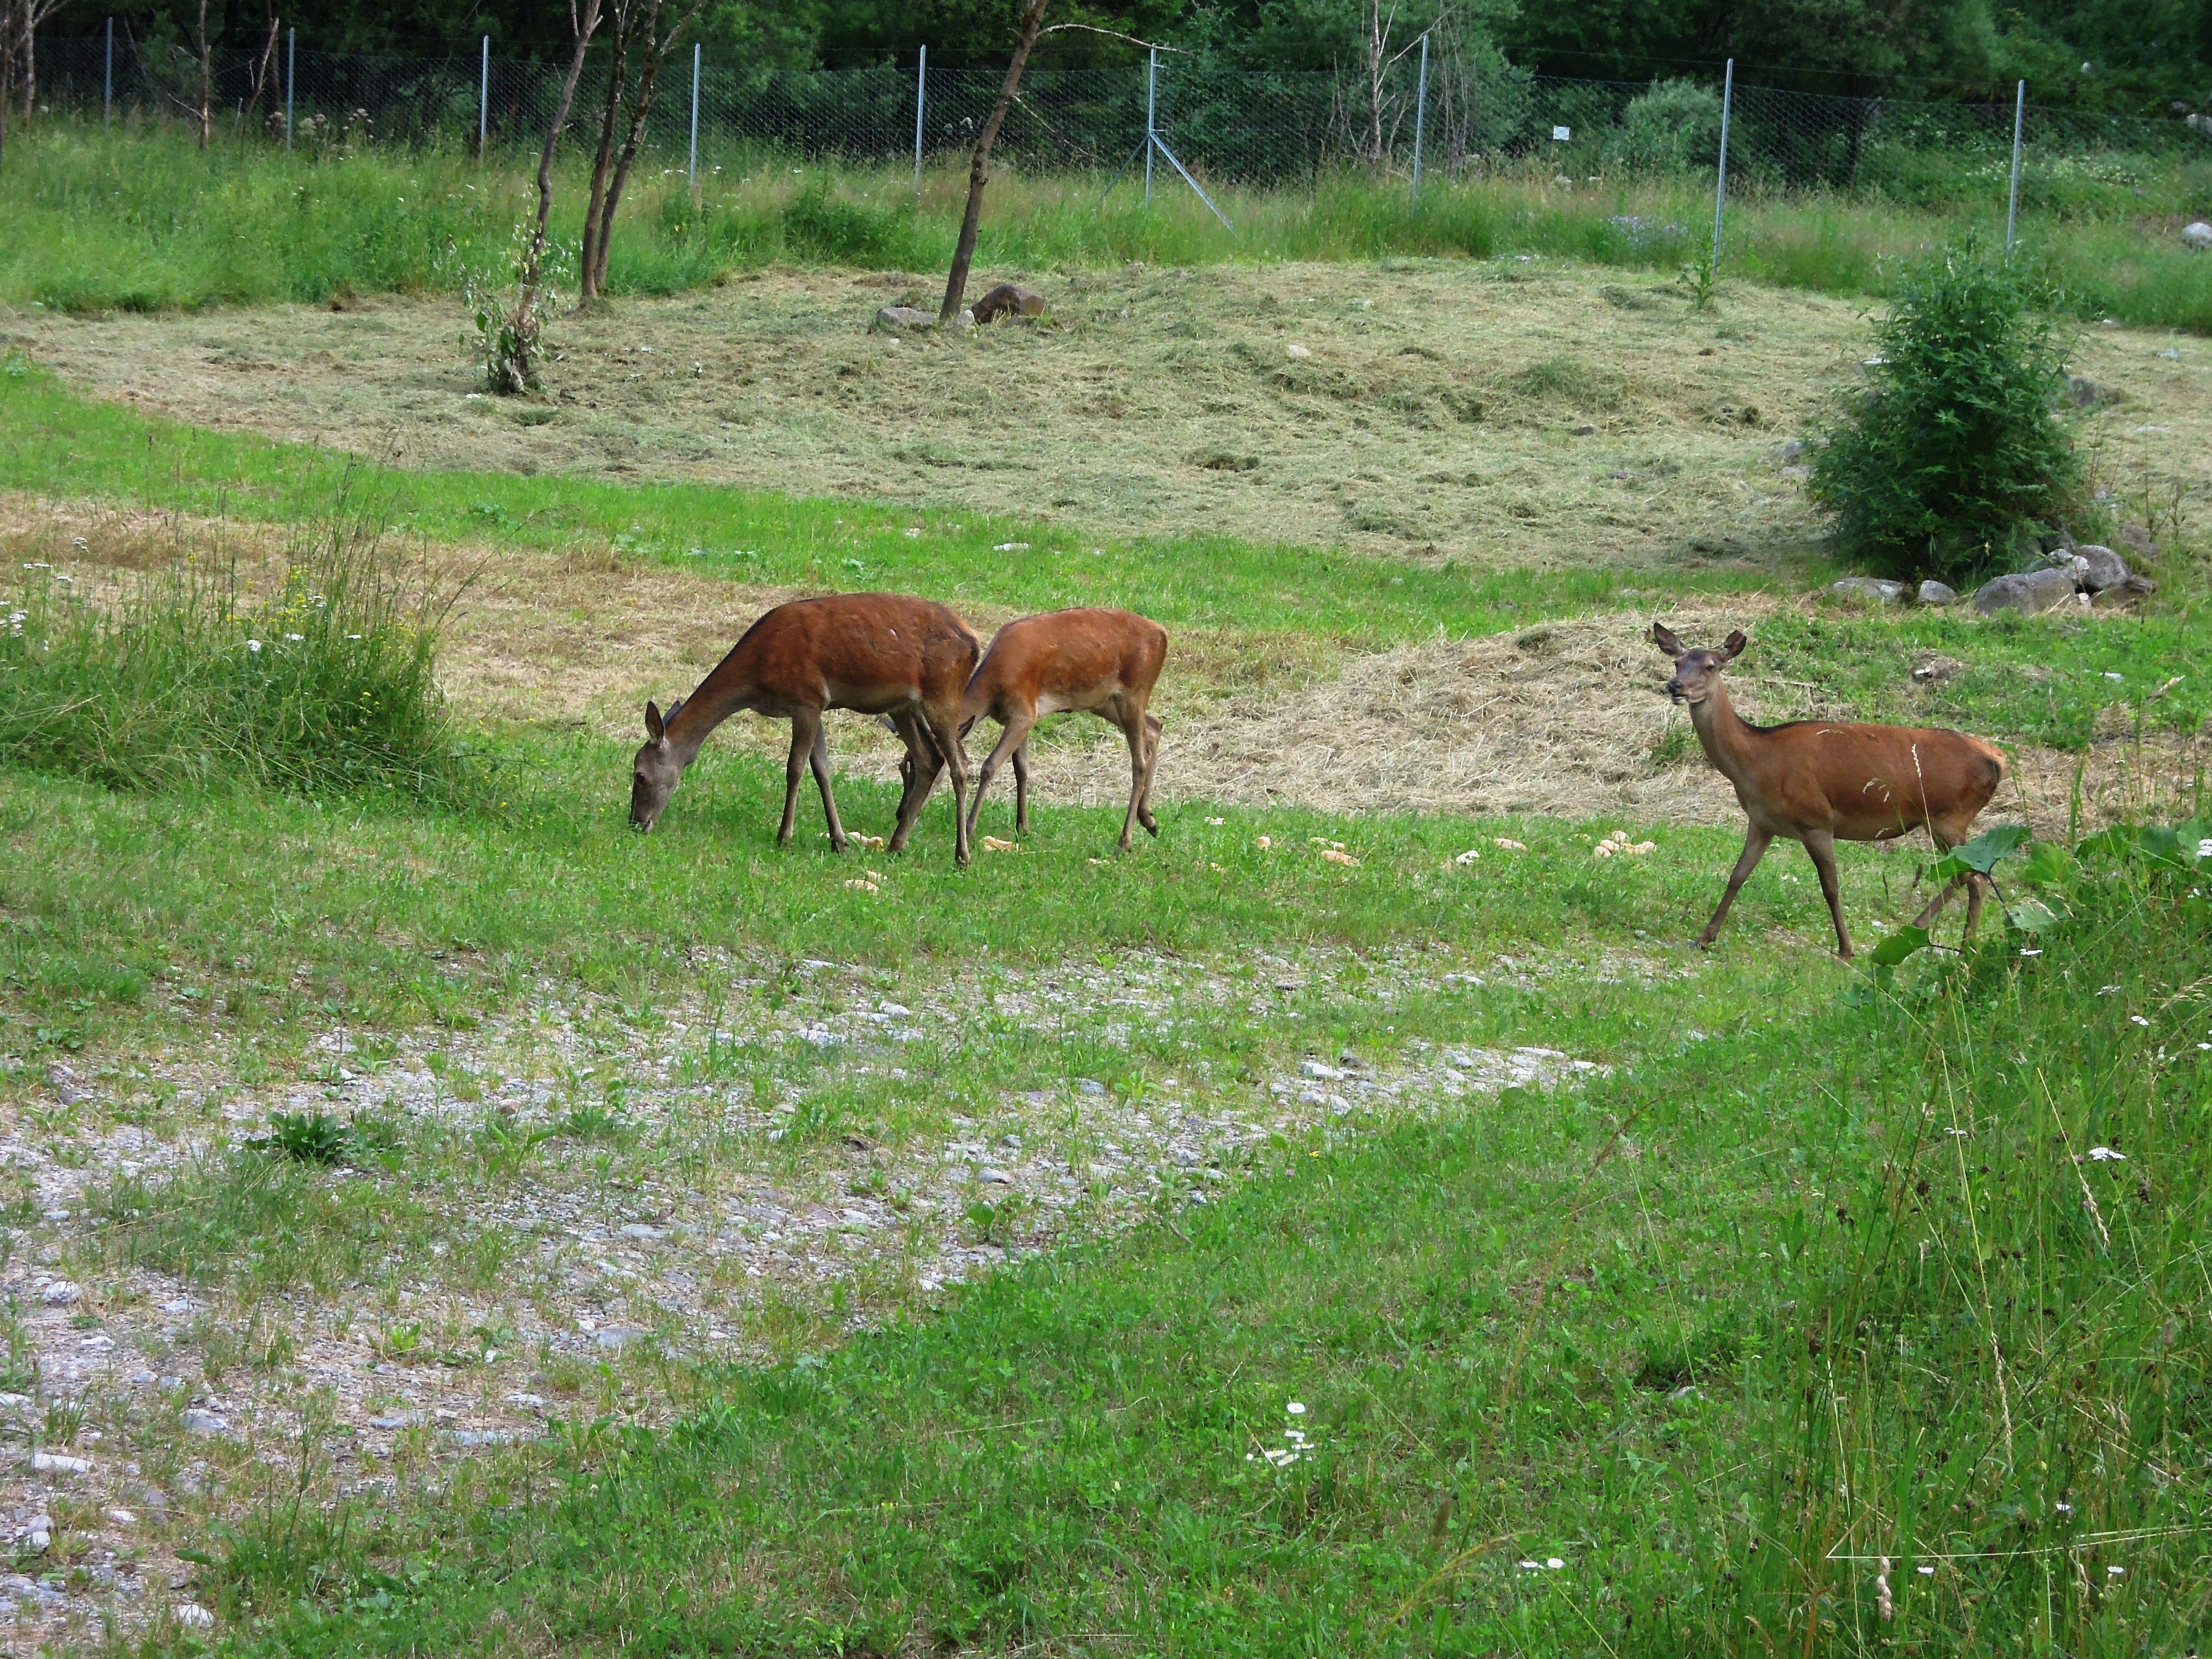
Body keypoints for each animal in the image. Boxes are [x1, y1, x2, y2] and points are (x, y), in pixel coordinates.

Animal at [641, 593, 987, 872]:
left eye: (639, 775)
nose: (638, 822)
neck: (756, 676)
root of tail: (975, 642)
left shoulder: (806, 699)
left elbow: (795, 768)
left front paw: (784, 836)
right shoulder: (817, 705)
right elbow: (821, 768)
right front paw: (839, 842)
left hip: (943, 693)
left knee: (959, 764)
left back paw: (962, 855)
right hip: (903, 706)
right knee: (929, 757)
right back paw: (895, 845)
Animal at [964, 606, 1177, 849]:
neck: (991, 695)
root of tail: (1162, 634)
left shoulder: (1023, 712)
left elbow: (990, 766)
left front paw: (970, 830)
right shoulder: (1020, 717)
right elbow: (1022, 769)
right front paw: (1023, 828)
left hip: (1135, 691)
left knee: (1139, 762)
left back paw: (1125, 842)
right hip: (1105, 701)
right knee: (1154, 726)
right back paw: (1150, 820)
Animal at [1663, 624, 2008, 960]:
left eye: (1711, 666)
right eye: (1678, 663)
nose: (1675, 686)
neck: (1757, 764)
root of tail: (1998, 758)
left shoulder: (1816, 819)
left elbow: (1830, 887)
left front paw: (1846, 949)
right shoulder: (1763, 822)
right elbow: (1737, 875)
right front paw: (1704, 938)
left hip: (1949, 816)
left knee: (1973, 875)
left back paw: (1929, 933)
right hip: (1948, 820)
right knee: (1973, 876)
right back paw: (1962, 946)